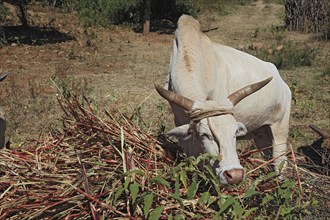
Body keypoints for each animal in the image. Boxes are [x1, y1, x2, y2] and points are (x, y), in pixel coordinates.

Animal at [155, 14, 292, 185]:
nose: (235, 174)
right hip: (262, 134)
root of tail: (283, 83)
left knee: (280, 164)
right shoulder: (181, 126)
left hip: (280, 130)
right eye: (204, 135)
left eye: (235, 133)